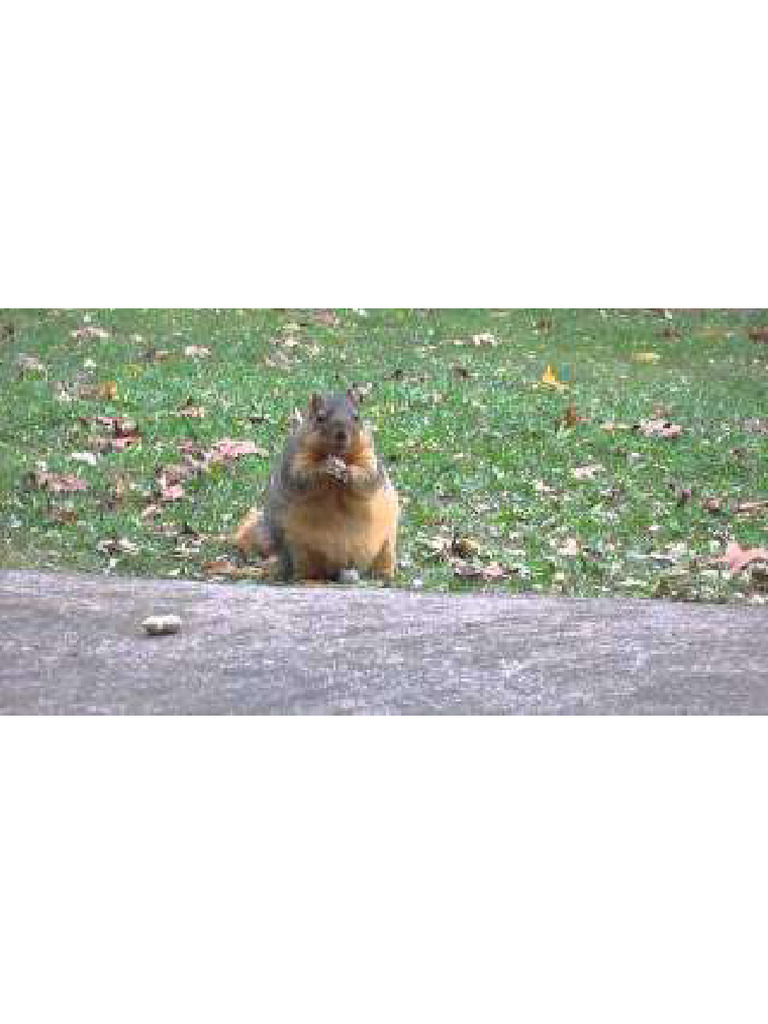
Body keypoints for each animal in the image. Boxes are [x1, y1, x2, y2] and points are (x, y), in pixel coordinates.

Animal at [232, 390, 398, 581]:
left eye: (357, 417)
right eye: (320, 418)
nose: (341, 434)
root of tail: (340, 567)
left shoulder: (368, 455)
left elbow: (368, 478)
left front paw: (347, 472)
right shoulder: (296, 456)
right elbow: (301, 478)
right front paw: (325, 467)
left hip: (387, 542)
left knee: (383, 559)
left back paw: (384, 575)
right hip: (297, 549)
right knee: (306, 570)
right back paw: (307, 579)